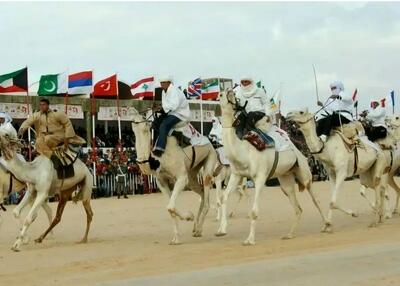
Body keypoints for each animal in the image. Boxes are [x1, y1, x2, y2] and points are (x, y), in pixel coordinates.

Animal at [131, 113, 219, 245]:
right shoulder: (161, 181)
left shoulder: (181, 177)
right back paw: (195, 228)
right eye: (133, 127)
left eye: (145, 122)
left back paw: (198, 230)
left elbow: (170, 206)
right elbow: (170, 208)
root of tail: (209, 141)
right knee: (202, 193)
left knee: (206, 192)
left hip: (209, 159)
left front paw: (189, 216)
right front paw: (176, 238)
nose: (134, 115)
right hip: (192, 175)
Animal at [216, 90, 324, 245]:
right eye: (220, 95)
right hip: (285, 179)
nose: (229, 91)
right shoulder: (237, 174)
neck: (242, 150)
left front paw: (249, 240)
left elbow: (254, 212)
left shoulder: (260, 176)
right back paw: (288, 235)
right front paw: (221, 230)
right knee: (297, 207)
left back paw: (327, 226)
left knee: (315, 199)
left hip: (305, 175)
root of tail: (302, 153)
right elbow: (224, 198)